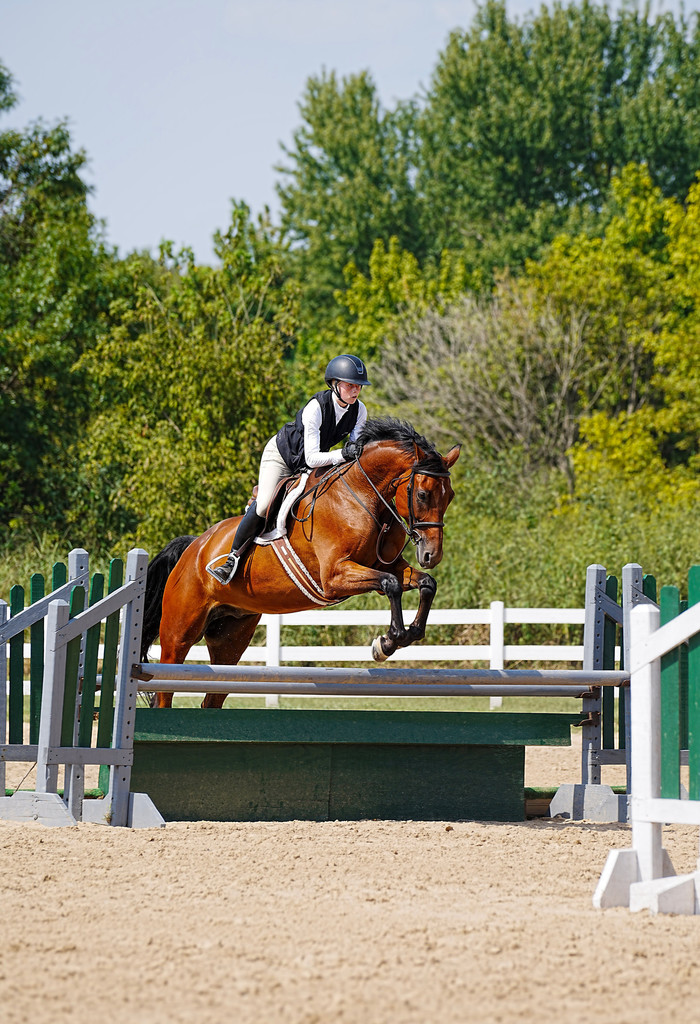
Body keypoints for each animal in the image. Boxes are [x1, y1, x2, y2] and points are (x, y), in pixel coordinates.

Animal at [140, 417, 460, 708]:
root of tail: (194, 546)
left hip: (230, 637)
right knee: (165, 689)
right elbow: (391, 584)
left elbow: (425, 583)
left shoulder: (385, 565)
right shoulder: (334, 577)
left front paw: (408, 635)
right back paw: (224, 568)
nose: (432, 555)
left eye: (450, 496)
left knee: (213, 697)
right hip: (179, 635)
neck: (363, 496)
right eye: (422, 494)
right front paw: (388, 641)